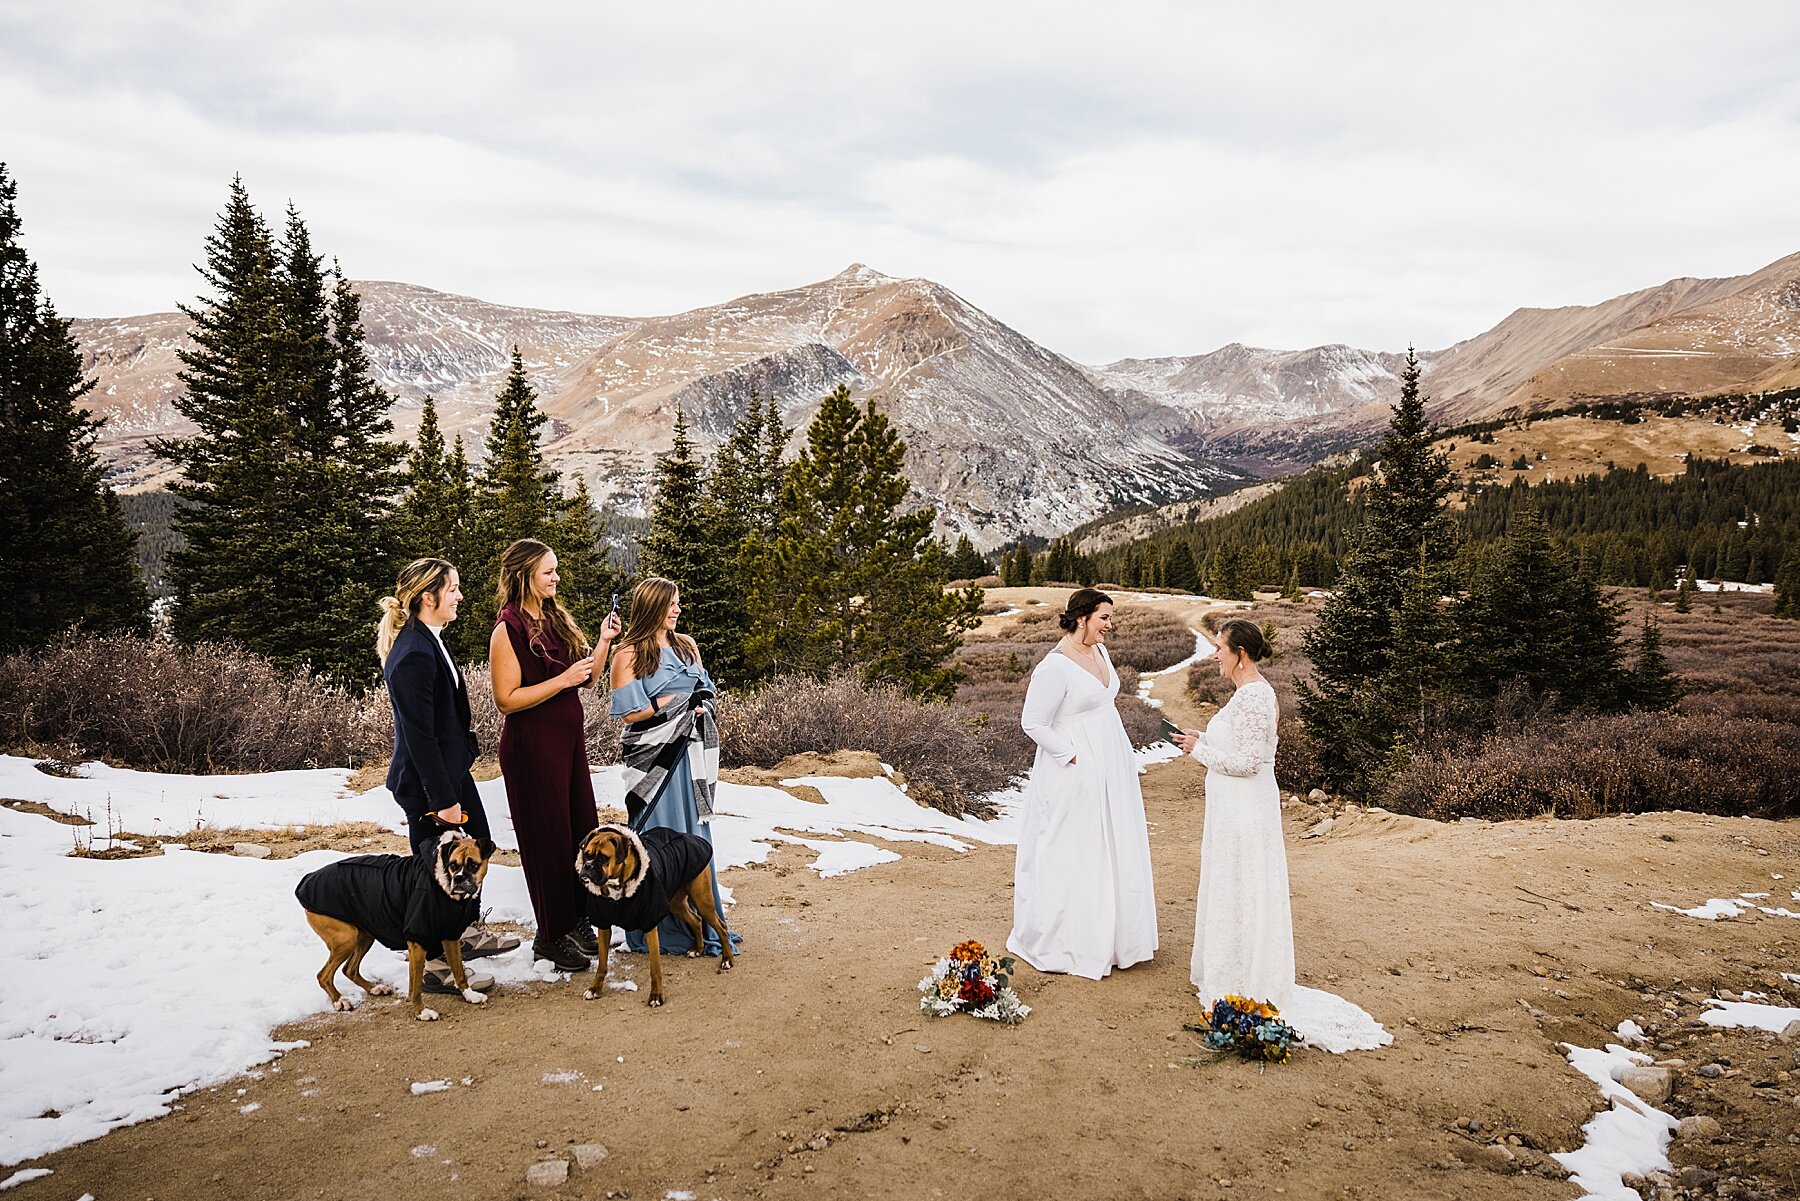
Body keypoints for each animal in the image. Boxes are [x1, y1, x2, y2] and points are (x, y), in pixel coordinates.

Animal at [295, 828, 496, 1022]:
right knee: (323, 975)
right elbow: (415, 986)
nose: (459, 879)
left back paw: (374, 989)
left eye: (473, 864)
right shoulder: (417, 941)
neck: (442, 883)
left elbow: (458, 970)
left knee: (349, 969)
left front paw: (469, 995)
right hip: (346, 940)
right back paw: (339, 1000)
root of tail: (308, 879)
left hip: (365, 935)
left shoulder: (451, 937)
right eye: (453, 865)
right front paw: (421, 1012)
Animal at [583, 828, 738, 1008]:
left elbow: (655, 968)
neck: (616, 887)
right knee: (696, 920)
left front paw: (656, 995)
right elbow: (602, 963)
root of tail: (690, 836)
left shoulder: (650, 925)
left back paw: (727, 959)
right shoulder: (603, 925)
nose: (587, 866)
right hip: (675, 904)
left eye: (603, 857)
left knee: (721, 926)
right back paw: (698, 950)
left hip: (702, 900)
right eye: (586, 855)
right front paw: (595, 989)